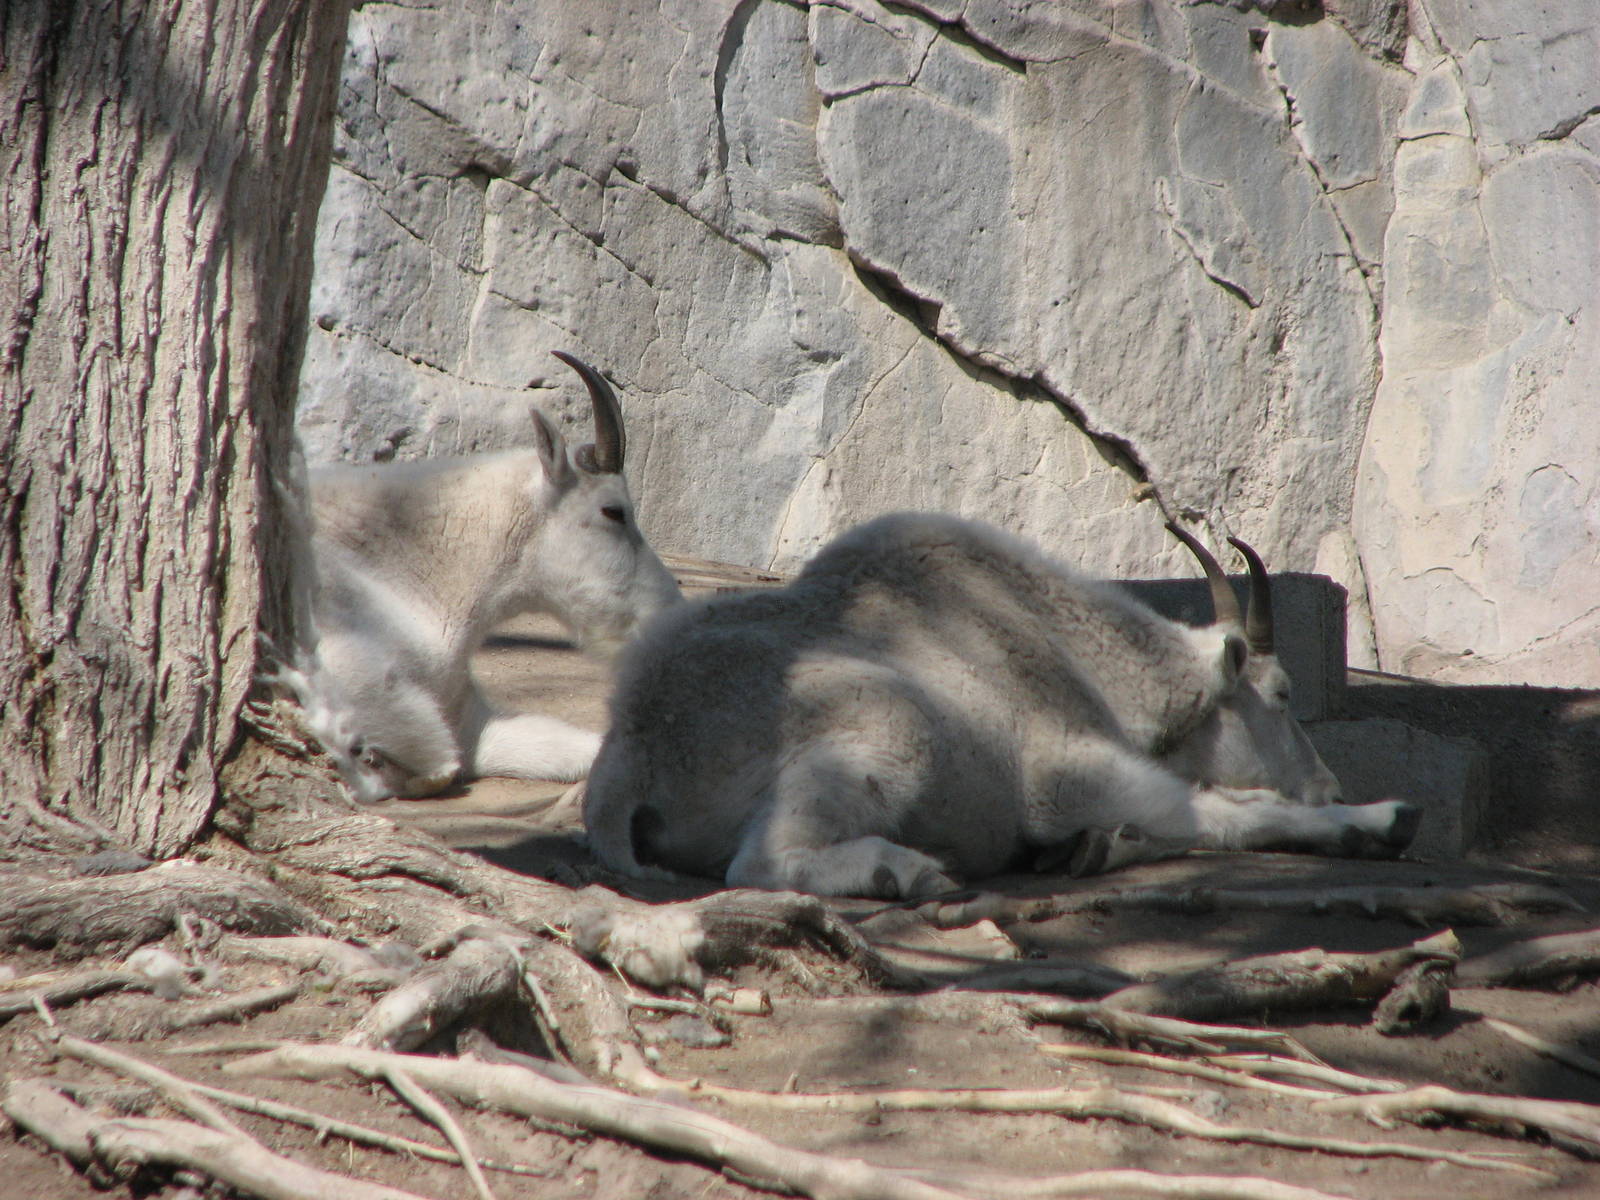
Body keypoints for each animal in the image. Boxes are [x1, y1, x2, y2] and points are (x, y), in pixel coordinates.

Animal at [583, 513, 1418, 897]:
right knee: (760, 862)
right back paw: (903, 870)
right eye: (1281, 695)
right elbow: (1221, 813)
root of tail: (636, 749)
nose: (1327, 784)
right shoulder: (1065, 775)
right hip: (892, 728)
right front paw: (1378, 819)